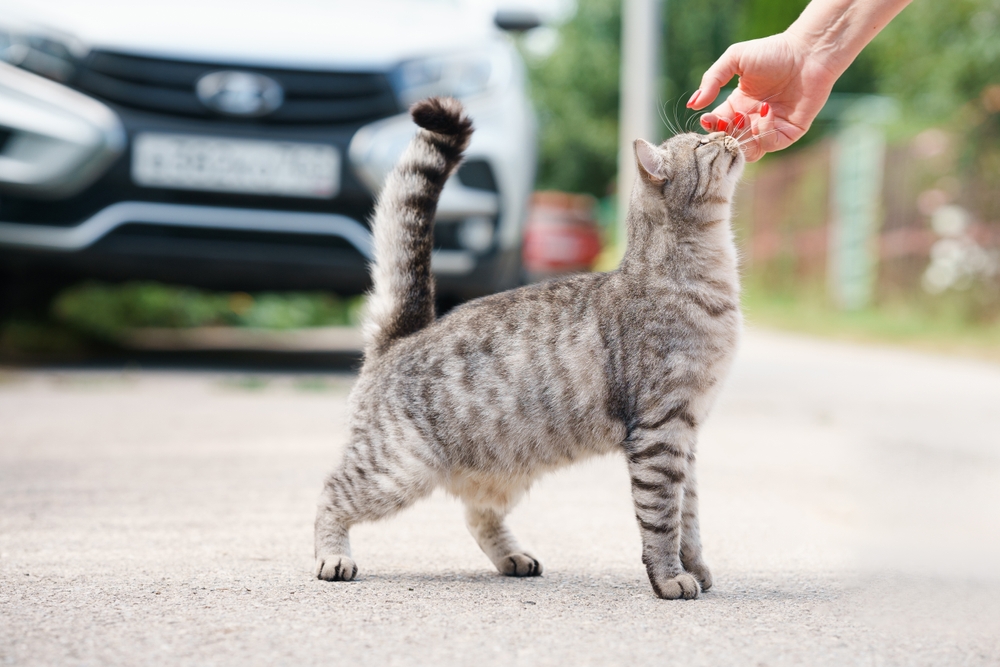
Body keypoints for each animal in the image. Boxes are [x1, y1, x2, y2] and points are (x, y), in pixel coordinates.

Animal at [316, 96, 748, 604]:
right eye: (702, 143)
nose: (726, 132)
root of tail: (401, 338)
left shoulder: (686, 437)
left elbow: (690, 520)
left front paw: (696, 568)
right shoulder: (660, 433)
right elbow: (662, 519)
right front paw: (670, 579)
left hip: (501, 472)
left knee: (476, 515)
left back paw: (514, 557)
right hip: (395, 470)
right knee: (331, 493)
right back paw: (332, 556)